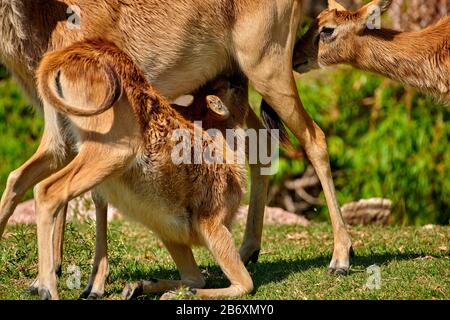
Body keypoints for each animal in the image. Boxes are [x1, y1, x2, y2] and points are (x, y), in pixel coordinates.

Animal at [0, 0, 352, 300]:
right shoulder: (60, 135)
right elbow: (18, 180)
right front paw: (50, 276)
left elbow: (94, 197)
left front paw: (92, 284)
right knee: (260, 143)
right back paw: (247, 250)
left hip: (268, 71)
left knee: (315, 139)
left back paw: (341, 258)